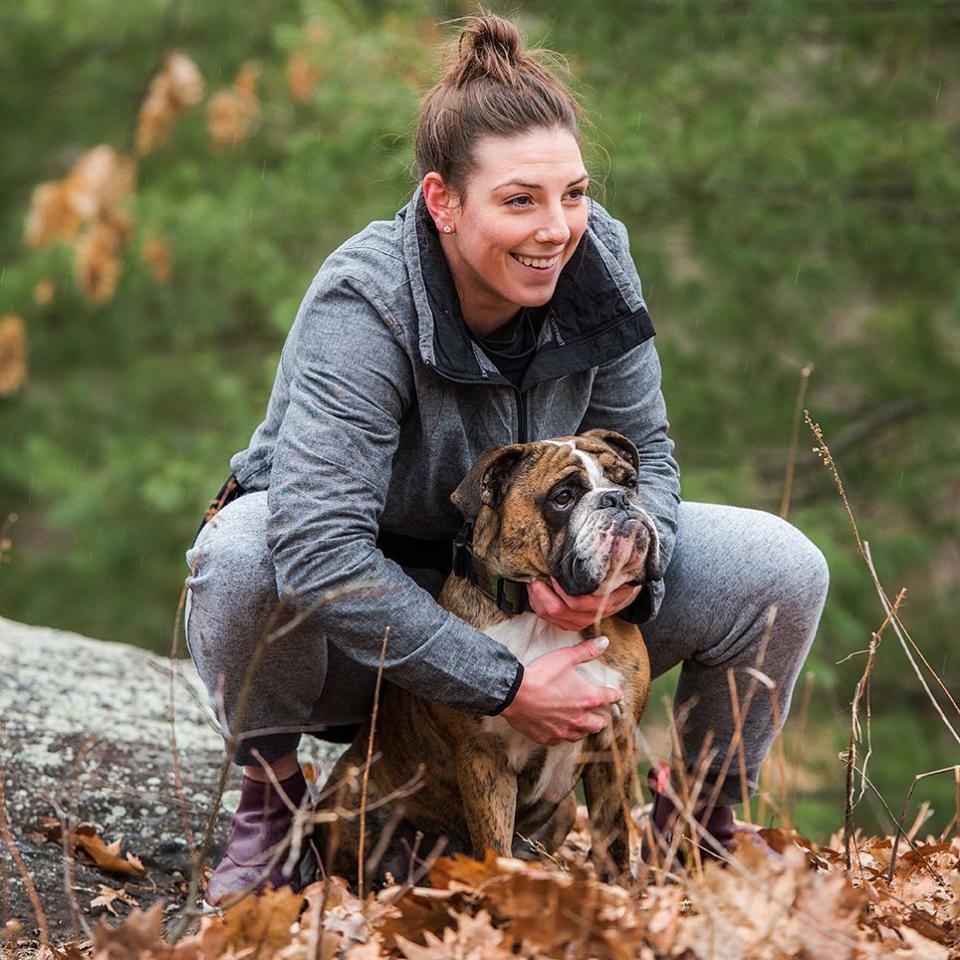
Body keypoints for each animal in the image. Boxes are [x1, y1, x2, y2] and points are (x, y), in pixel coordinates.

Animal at [316, 428, 660, 884]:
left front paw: (618, 891)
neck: (540, 618)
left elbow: (615, 834)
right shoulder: (484, 760)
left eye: (629, 482)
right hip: (350, 796)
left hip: (564, 812)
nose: (617, 501)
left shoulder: (615, 745)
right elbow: (495, 844)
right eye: (563, 497)